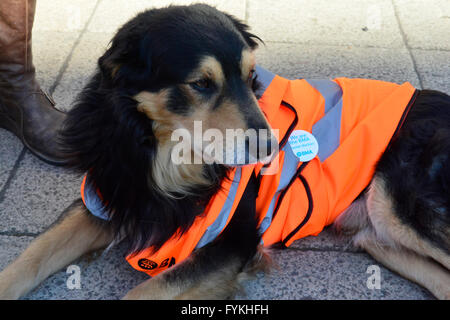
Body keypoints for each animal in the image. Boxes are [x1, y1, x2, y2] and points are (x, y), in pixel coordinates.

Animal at [0, 3, 448, 298]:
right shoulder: (107, 197)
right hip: (378, 231)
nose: (271, 148)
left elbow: (141, 293)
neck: (162, 155)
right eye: (200, 83)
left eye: (251, 77)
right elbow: (32, 254)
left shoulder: (233, 240)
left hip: (395, 206)